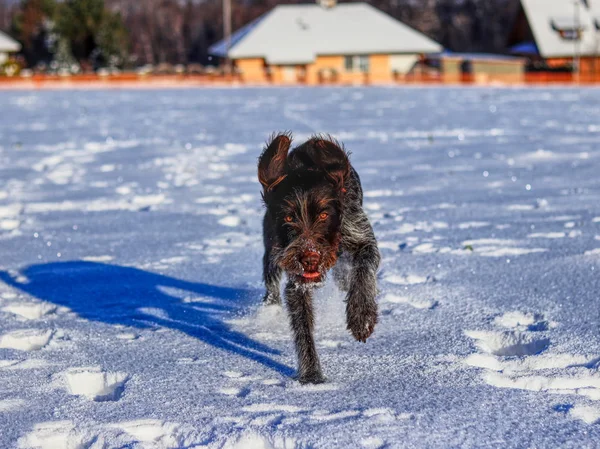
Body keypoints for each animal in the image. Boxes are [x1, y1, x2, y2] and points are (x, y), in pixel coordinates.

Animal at [258, 132, 380, 382]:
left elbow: (364, 268)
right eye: (288, 218)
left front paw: (362, 315)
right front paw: (312, 375)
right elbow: (303, 327)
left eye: (324, 215)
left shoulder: (361, 236)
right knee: (271, 283)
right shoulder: (296, 280)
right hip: (272, 253)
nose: (310, 258)